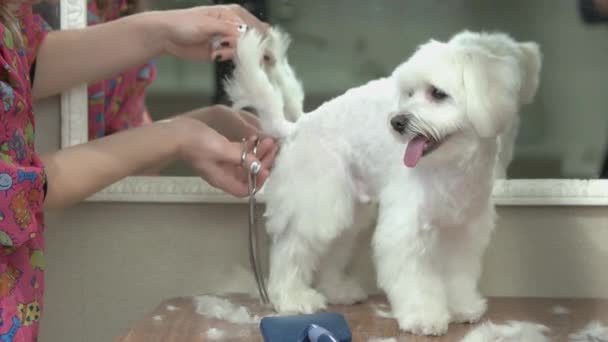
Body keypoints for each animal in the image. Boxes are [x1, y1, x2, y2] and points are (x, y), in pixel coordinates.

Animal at [223, 28, 540, 336]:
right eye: (409, 93)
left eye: (438, 93)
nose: (397, 122)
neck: (449, 166)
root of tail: (297, 125)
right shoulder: (406, 229)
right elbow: (414, 277)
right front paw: (423, 316)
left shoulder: (463, 229)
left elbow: (458, 274)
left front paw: (461, 307)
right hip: (319, 204)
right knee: (290, 250)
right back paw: (292, 297)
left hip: (348, 211)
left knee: (331, 251)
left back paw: (337, 290)